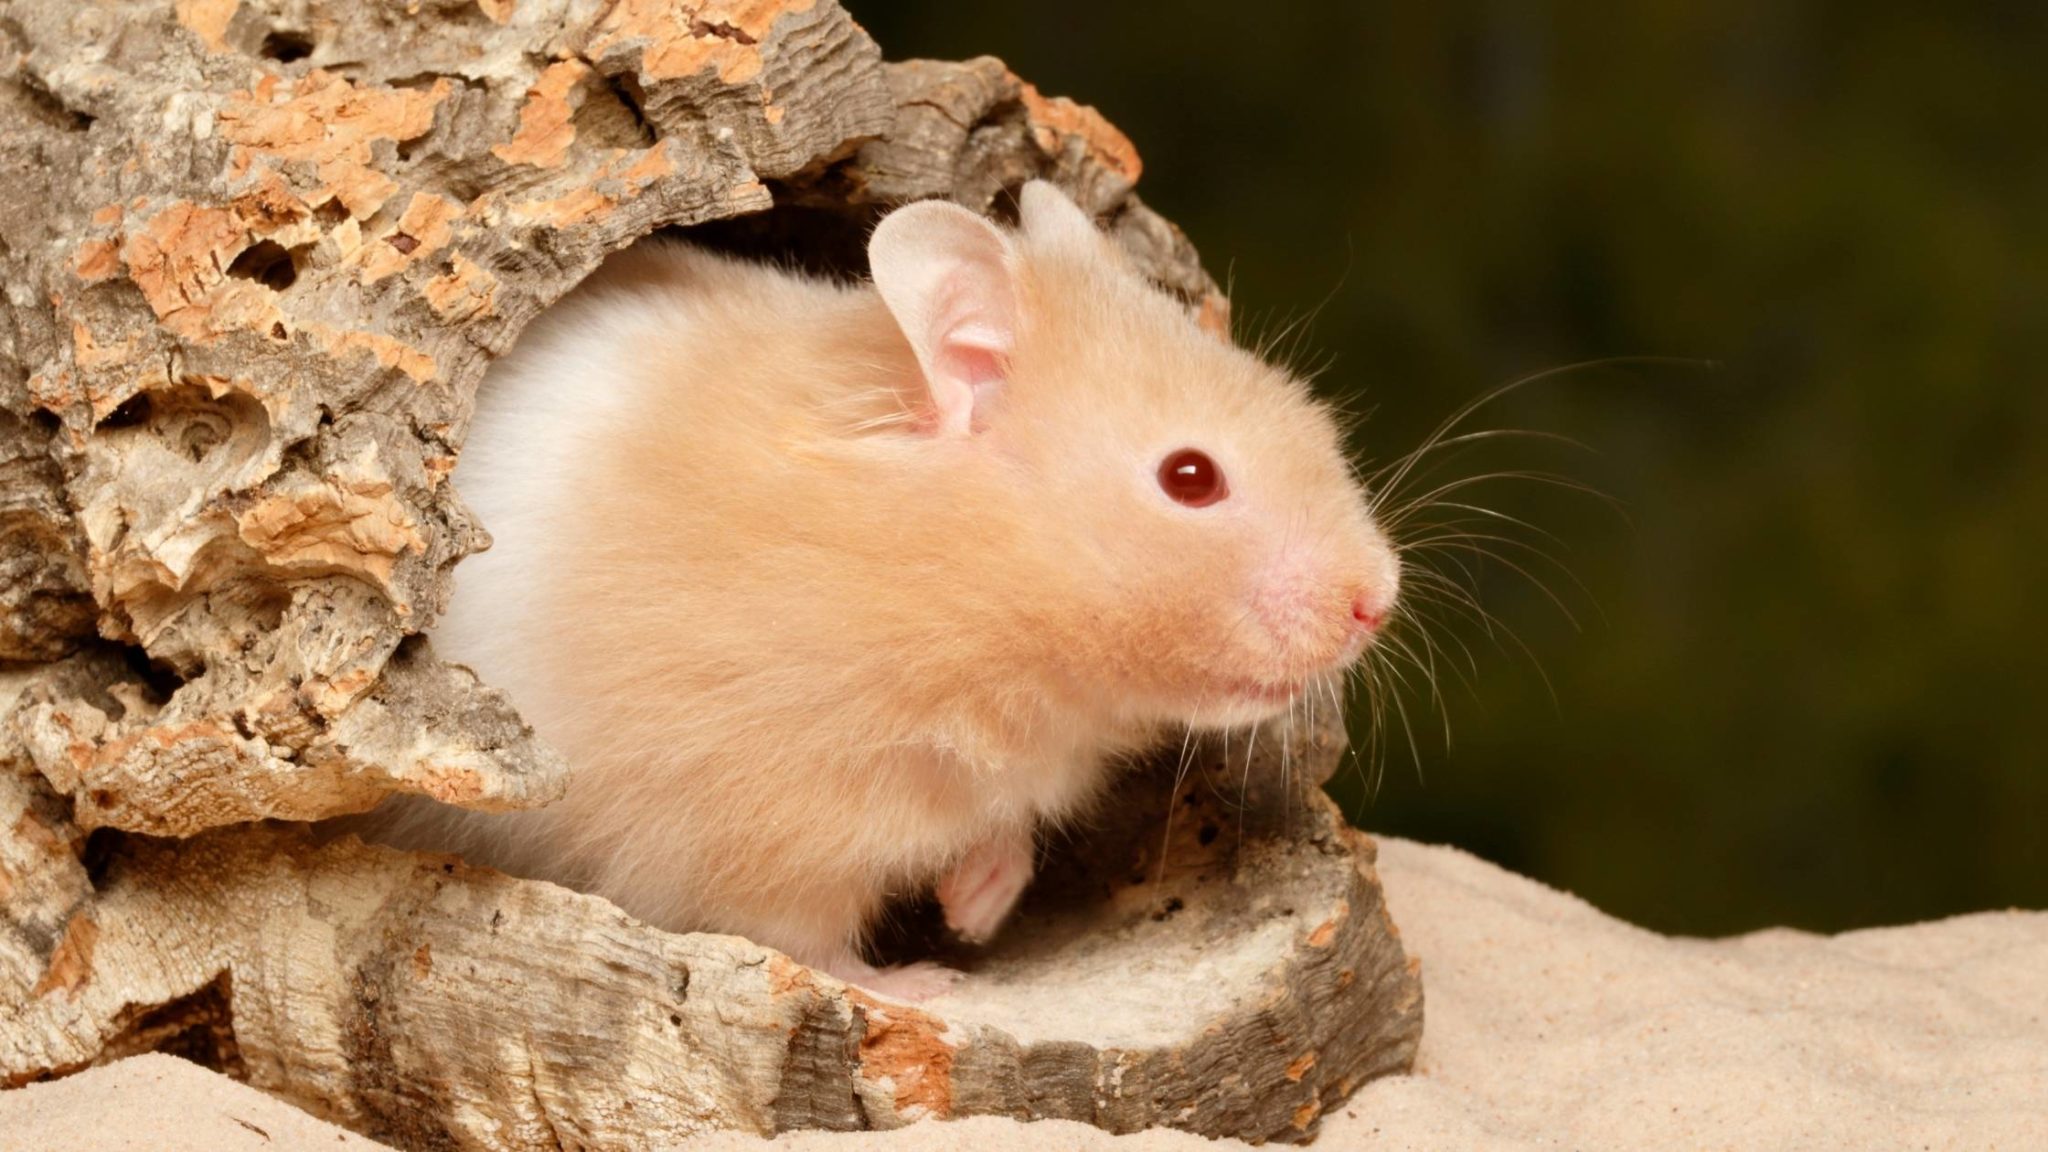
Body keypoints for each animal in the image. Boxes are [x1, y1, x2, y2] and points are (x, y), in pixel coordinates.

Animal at [371, 182, 1401, 1000]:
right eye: (1191, 478)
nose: (1378, 601)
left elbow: (1002, 836)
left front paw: (975, 911)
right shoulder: (753, 822)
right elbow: (805, 941)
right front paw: (931, 983)